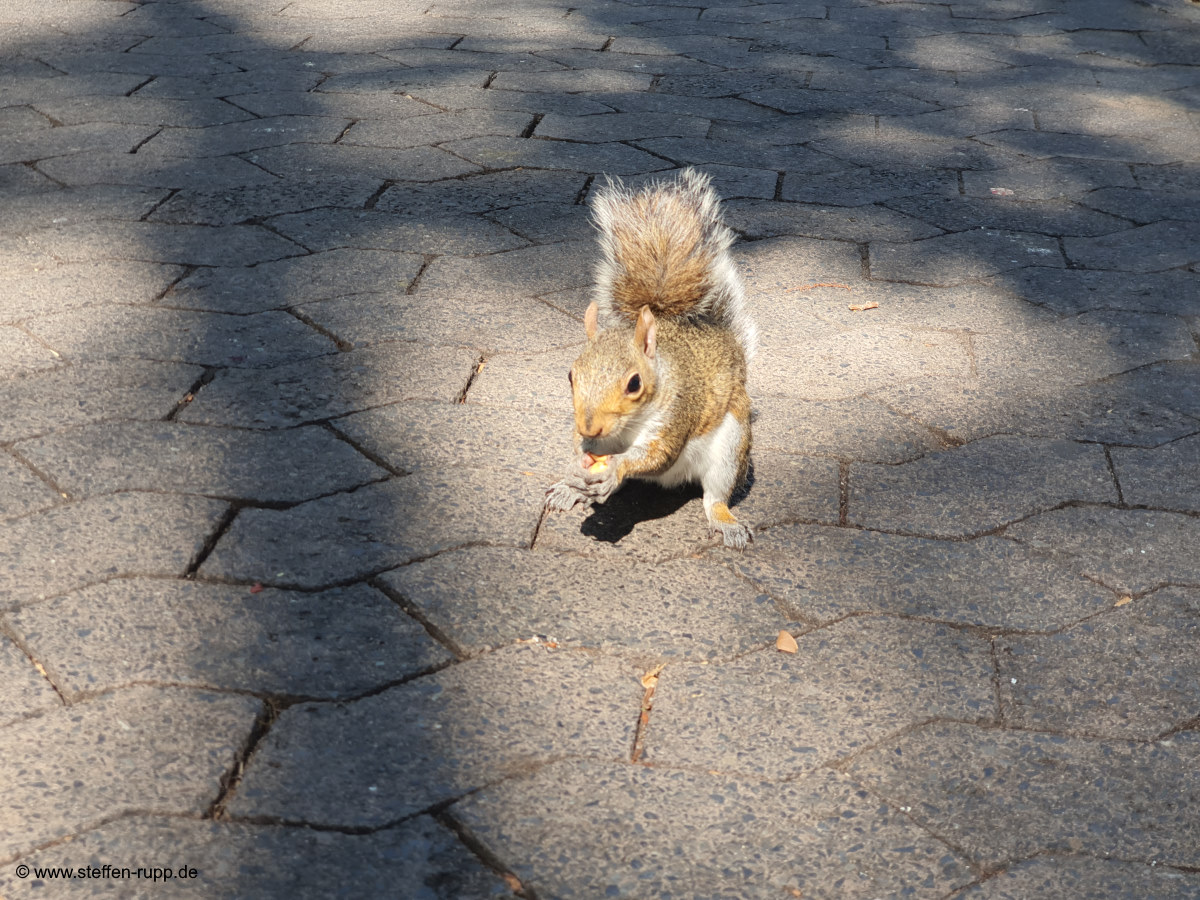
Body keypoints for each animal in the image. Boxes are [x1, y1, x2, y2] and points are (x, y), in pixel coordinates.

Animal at [547, 168, 758, 549]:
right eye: (570, 376)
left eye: (634, 384)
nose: (590, 427)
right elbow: (582, 447)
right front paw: (577, 465)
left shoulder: (676, 413)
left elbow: (656, 454)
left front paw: (615, 468)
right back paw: (571, 490)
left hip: (732, 445)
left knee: (715, 496)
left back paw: (726, 523)